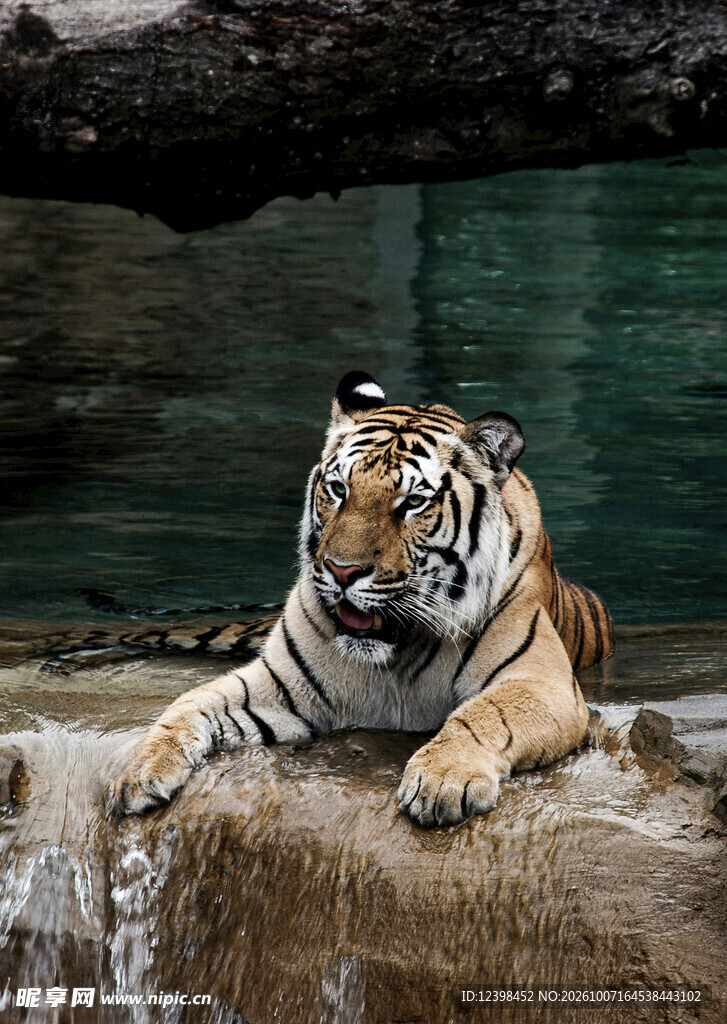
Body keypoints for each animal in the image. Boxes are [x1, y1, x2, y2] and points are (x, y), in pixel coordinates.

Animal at [108, 371, 614, 826]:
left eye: (412, 503)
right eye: (338, 489)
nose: (342, 570)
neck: (396, 659)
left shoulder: (541, 683)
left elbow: (484, 715)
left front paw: (443, 780)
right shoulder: (279, 685)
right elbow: (191, 703)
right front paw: (139, 769)